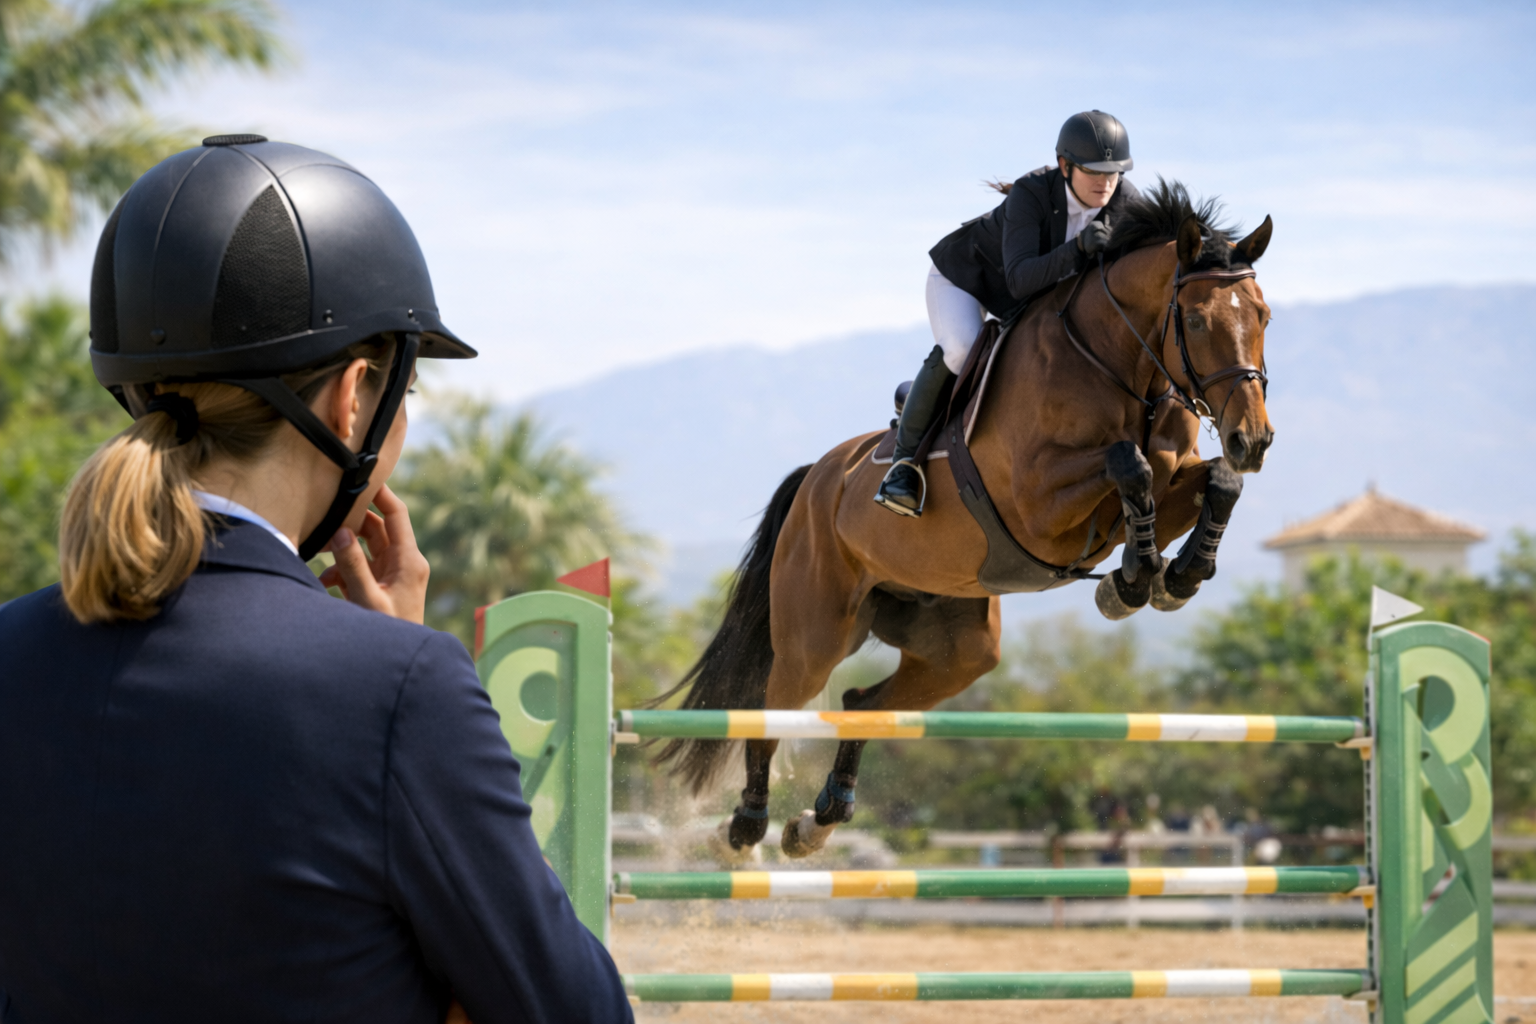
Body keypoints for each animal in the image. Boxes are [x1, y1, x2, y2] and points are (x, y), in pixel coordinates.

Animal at [653, 180, 1275, 863]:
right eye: (1195, 320)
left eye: (1264, 316)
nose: (1252, 439)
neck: (1119, 367)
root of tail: (817, 477)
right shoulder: (1037, 503)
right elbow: (1127, 464)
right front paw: (1137, 579)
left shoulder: (1169, 478)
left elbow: (1215, 482)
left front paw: (1171, 576)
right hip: (815, 632)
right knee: (775, 705)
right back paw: (745, 824)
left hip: (958, 646)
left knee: (861, 701)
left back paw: (819, 821)